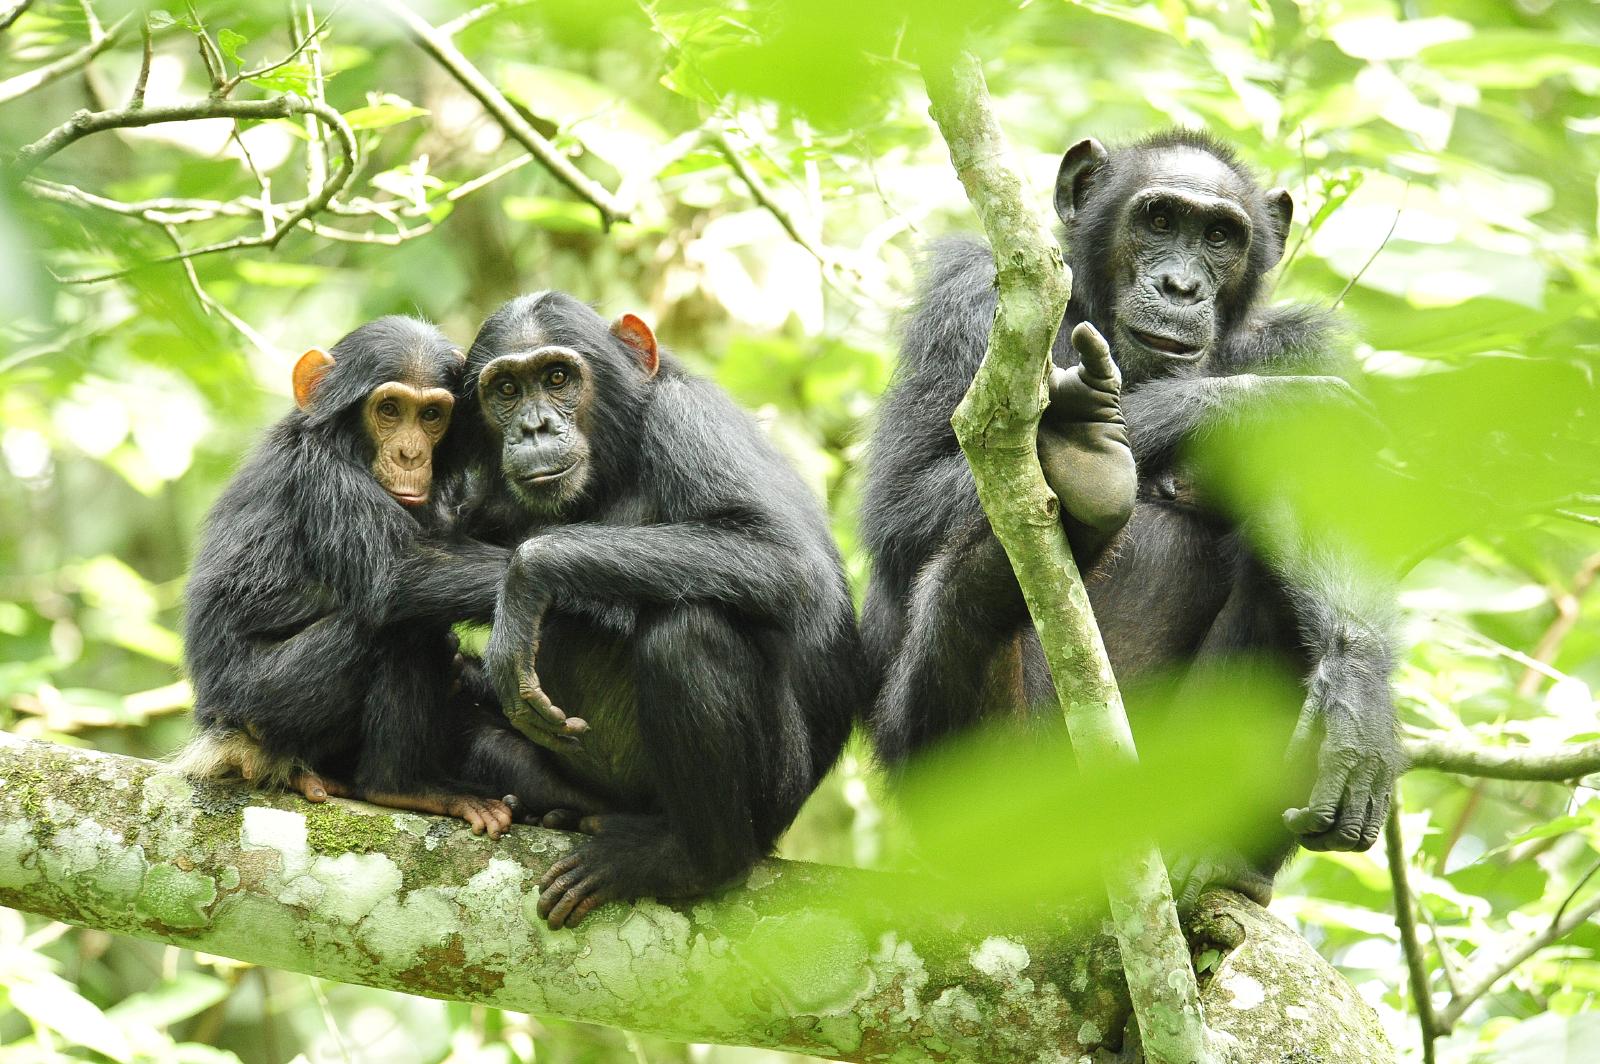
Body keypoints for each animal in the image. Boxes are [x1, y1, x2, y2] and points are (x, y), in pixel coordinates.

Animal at [175, 312, 601, 832]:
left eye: (431, 415)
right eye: (391, 410)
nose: (410, 455)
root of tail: (220, 734)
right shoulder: (322, 474)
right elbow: (398, 573)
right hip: (259, 703)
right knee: (401, 623)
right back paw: (404, 787)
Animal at [457, 292, 870, 928]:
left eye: (557, 378)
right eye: (505, 390)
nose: (534, 425)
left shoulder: (691, 421)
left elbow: (789, 560)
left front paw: (528, 577)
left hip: (773, 798)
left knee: (687, 633)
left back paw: (687, 861)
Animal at [864, 128, 1401, 902]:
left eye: (1218, 236)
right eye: (1158, 220)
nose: (1181, 285)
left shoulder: (1304, 343)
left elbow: (1332, 505)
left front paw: (1358, 702)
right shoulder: (964, 297)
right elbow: (902, 503)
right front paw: (1249, 405)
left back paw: (1211, 856)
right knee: (964, 600)